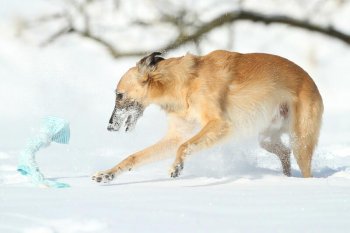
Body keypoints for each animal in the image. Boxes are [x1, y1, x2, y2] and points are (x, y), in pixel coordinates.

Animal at [92, 50, 322, 183]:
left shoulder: (220, 124)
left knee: (304, 167)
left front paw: (177, 167)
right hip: (267, 139)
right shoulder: (175, 135)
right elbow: (134, 157)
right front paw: (107, 174)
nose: (109, 127)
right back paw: (286, 179)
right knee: (284, 153)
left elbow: (184, 146)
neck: (183, 83)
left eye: (119, 95)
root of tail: (311, 81)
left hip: (300, 141)